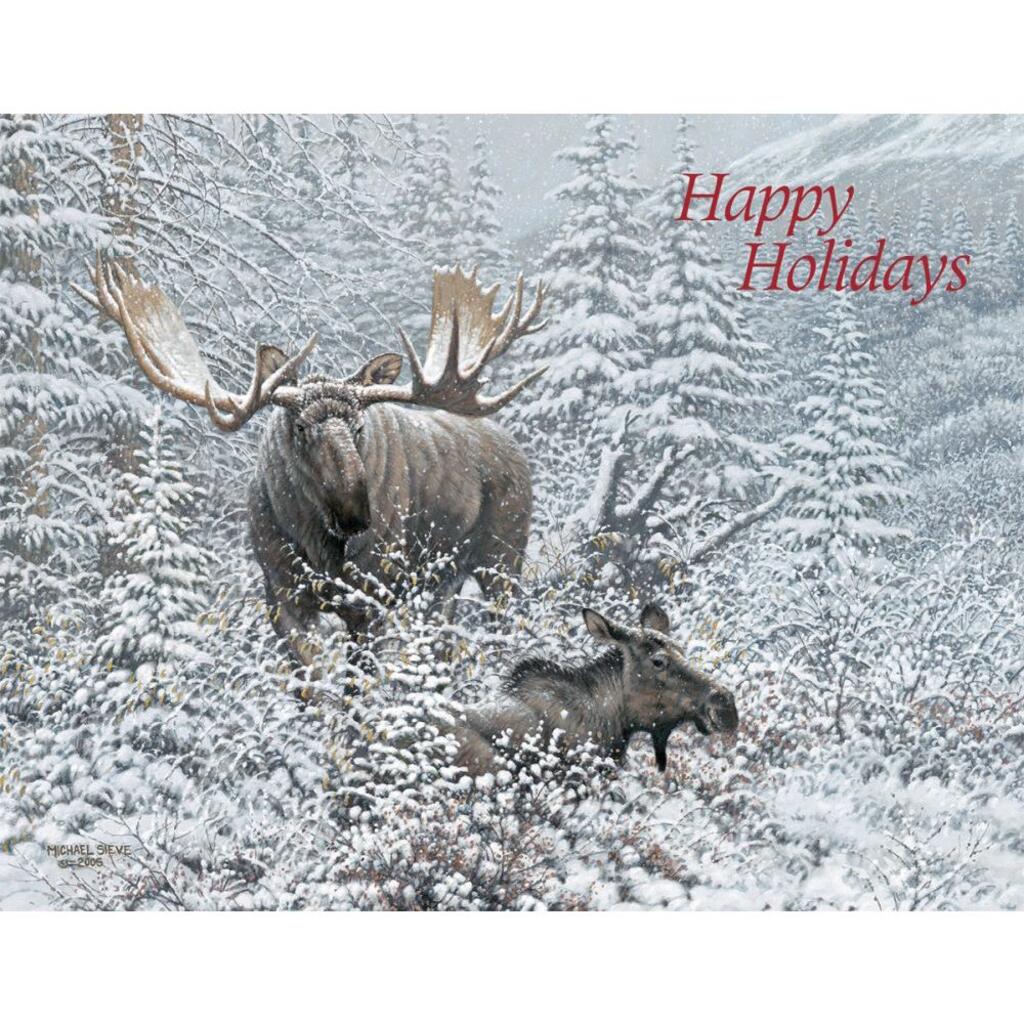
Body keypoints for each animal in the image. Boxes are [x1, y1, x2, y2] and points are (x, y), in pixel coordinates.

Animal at [76, 256, 547, 668]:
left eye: (359, 426)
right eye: (300, 427)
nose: (356, 515)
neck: (315, 545)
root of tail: (514, 447)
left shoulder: (370, 598)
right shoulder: (280, 594)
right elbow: (311, 684)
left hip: (502, 557)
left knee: (505, 626)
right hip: (444, 581)